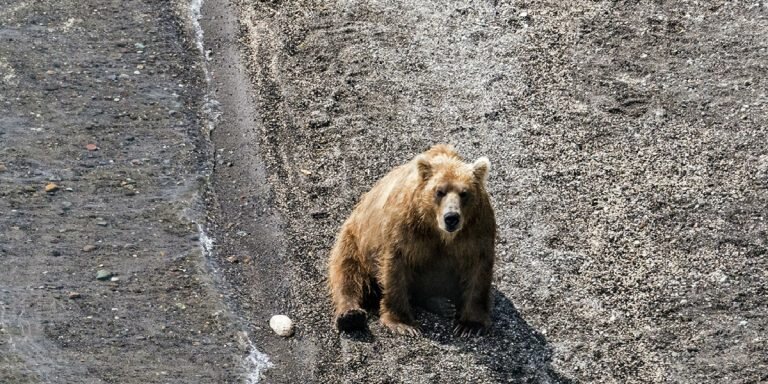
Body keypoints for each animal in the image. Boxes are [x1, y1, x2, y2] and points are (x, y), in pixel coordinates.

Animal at [326, 144, 496, 336]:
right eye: (439, 191)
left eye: (464, 193)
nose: (451, 217)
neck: (438, 231)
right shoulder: (406, 228)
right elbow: (396, 266)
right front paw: (403, 323)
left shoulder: (476, 230)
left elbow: (479, 269)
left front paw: (470, 325)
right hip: (354, 239)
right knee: (347, 271)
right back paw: (350, 315)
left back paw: (442, 304)